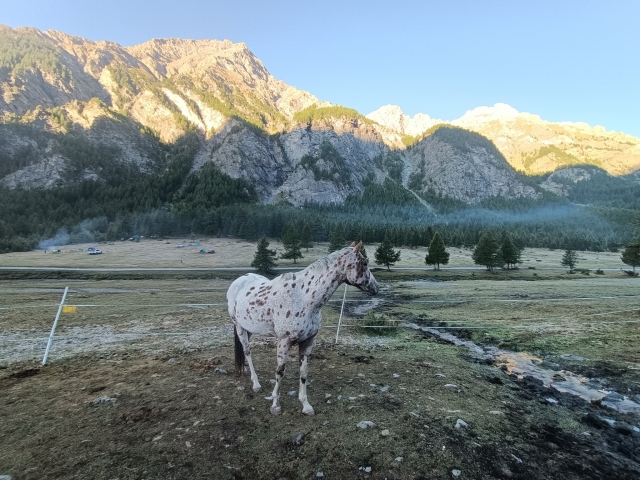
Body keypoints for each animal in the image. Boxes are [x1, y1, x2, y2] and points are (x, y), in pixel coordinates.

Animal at [227, 241, 378, 415]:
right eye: (364, 263)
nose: (376, 287)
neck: (303, 298)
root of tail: (239, 280)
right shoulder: (283, 342)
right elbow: (280, 371)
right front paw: (275, 405)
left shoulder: (308, 341)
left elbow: (304, 373)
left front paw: (306, 405)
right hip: (239, 327)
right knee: (247, 351)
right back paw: (256, 383)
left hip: (249, 328)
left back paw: (245, 371)